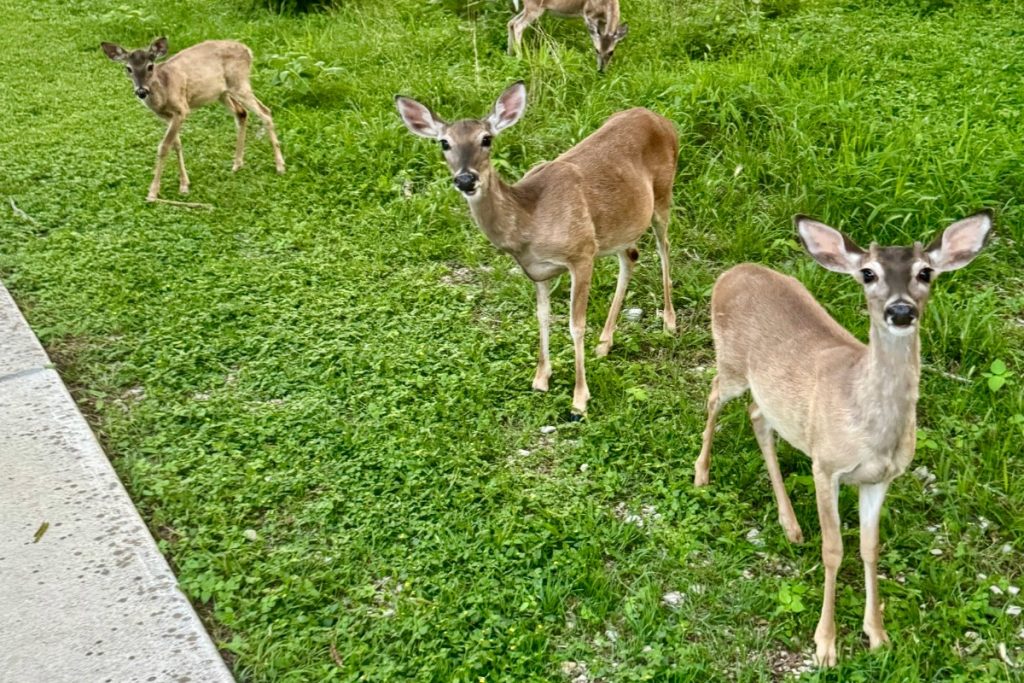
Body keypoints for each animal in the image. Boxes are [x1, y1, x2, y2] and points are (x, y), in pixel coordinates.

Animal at [100, 37, 285, 202]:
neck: (163, 90)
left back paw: (280, 166)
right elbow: (177, 145)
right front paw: (184, 184)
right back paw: (237, 164)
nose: (141, 91)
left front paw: (153, 193)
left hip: (239, 83)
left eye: (150, 66)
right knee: (242, 113)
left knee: (265, 112)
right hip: (222, 93)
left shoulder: (182, 109)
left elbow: (164, 146)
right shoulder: (166, 116)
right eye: (128, 68)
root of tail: (248, 50)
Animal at [395, 82, 678, 415]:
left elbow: (575, 325)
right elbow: (542, 316)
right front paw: (541, 378)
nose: (465, 179)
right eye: (444, 143)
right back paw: (604, 343)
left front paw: (579, 400)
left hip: (663, 193)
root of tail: (661, 119)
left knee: (664, 247)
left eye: (486, 139)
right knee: (631, 256)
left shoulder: (581, 253)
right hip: (619, 226)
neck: (530, 220)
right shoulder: (537, 270)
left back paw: (669, 323)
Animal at [693, 211, 992, 666]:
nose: (900, 310)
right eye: (868, 273)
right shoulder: (827, 465)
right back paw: (702, 474)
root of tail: (733, 271)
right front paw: (825, 645)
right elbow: (833, 550)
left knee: (758, 417)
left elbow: (870, 548)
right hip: (730, 363)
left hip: (771, 395)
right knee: (712, 397)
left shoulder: (880, 478)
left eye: (925, 272)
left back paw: (791, 525)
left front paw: (878, 635)